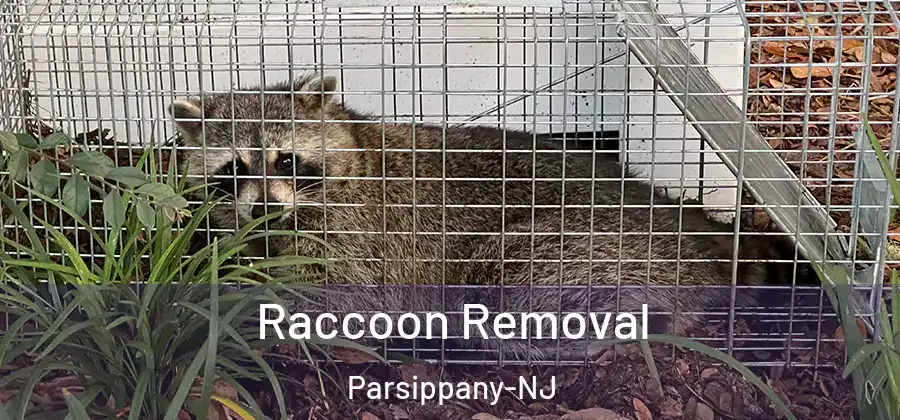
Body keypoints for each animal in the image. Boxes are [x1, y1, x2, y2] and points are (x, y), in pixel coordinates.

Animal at [167, 73, 793, 360]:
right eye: (233, 168)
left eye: (286, 160)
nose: (265, 206)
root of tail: (699, 237)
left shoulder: (364, 236)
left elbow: (342, 296)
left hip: (577, 247)